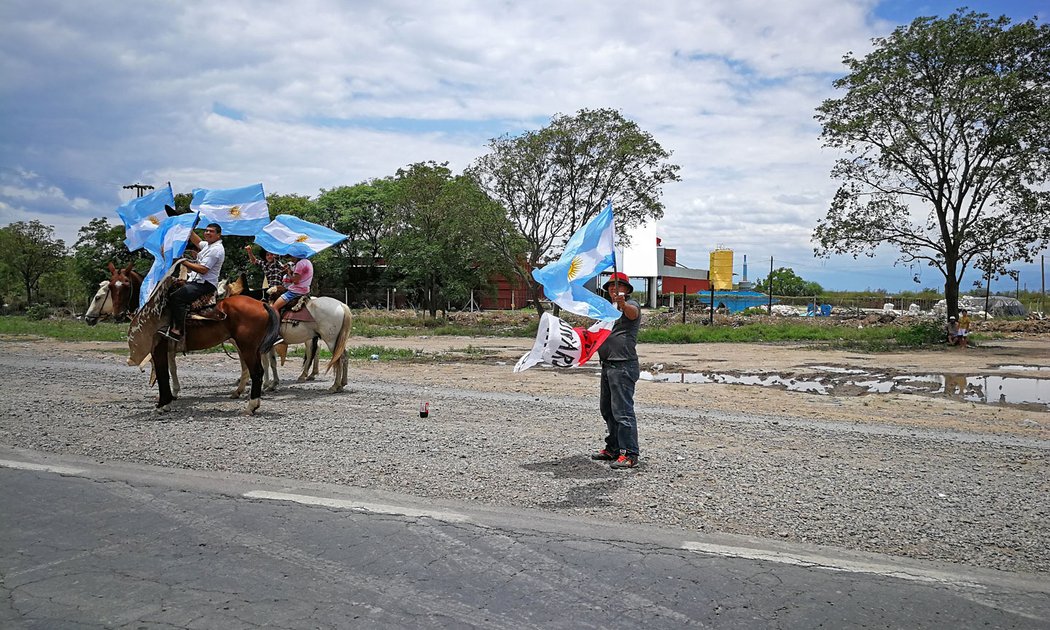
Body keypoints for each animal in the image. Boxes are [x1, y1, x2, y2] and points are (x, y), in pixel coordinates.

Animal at [127, 270, 283, 413]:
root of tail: (262, 304)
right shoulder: (168, 349)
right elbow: (170, 370)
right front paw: (169, 399)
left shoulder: (158, 347)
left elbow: (162, 373)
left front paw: (163, 404)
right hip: (253, 348)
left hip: (247, 348)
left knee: (256, 372)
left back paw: (251, 405)